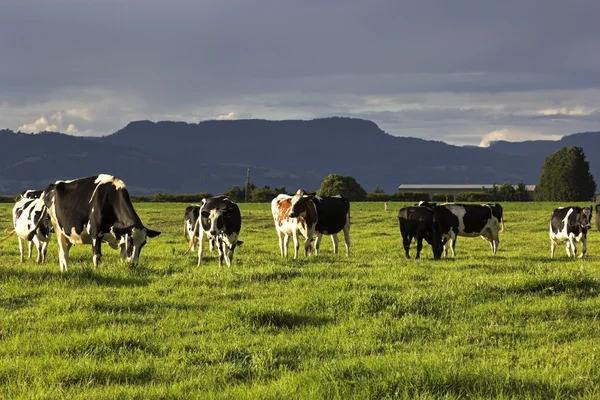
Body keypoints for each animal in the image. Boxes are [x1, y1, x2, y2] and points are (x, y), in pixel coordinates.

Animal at [33, 175, 161, 272]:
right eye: (131, 241)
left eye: (143, 244)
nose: (134, 264)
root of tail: (54, 185)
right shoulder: (95, 233)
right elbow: (97, 257)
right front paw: (97, 272)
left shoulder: (122, 237)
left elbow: (123, 258)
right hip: (57, 228)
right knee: (64, 253)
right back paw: (66, 271)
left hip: (68, 234)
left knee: (61, 252)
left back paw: (63, 270)